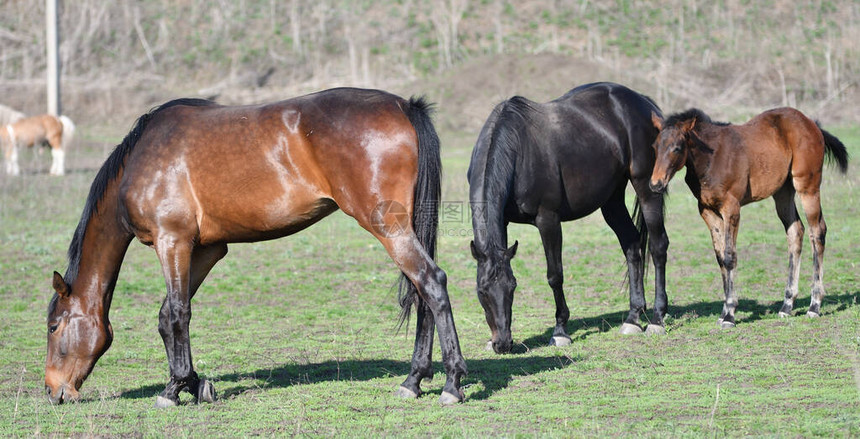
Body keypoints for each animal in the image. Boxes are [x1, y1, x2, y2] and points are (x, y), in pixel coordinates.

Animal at [44, 88, 466, 410]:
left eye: (53, 326)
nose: (53, 391)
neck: (142, 157)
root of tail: (403, 106)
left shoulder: (172, 242)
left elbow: (178, 313)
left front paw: (173, 388)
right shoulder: (207, 249)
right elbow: (168, 315)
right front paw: (195, 384)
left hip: (388, 228)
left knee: (432, 283)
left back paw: (451, 383)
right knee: (422, 292)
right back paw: (413, 380)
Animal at [466, 81, 668, 354]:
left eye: (513, 287)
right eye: (481, 290)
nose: (503, 344)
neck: (518, 152)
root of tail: (644, 103)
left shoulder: (548, 220)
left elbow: (555, 275)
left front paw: (560, 332)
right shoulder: (503, 222)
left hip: (647, 189)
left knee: (658, 247)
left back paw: (657, 318)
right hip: (612, 200)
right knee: (631, 244)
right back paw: (633, 318)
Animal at [652, 108, 848, 328]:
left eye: (676, 148)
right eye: (655, 147)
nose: (655, 184)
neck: (711, 159)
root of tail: (812, 125)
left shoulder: (732, 208)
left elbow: (730, 257)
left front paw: (730, 315)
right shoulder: (707, 210)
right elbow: (720, 257)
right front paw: (724, 312)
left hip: (807, 186)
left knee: (818, 232)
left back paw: (814, 305)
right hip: (783, 192)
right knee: (796, 232)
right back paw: (787, 306)